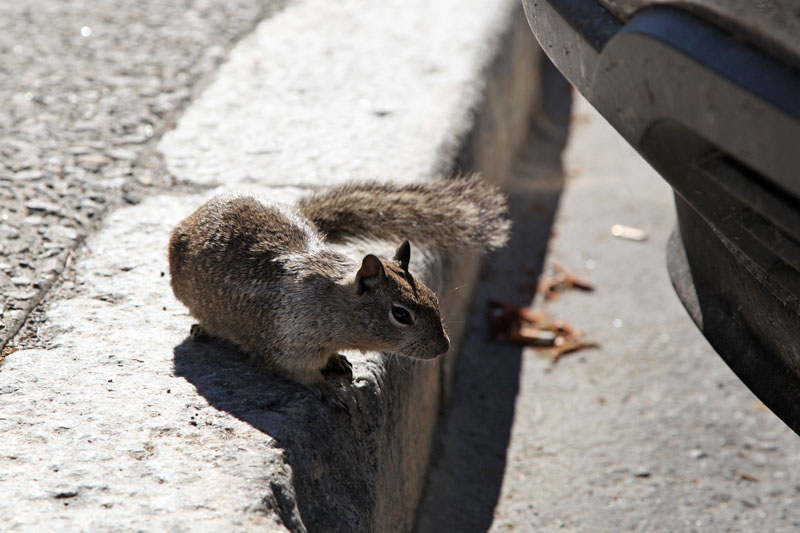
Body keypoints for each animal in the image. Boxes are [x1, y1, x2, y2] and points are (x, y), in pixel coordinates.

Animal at [167, 175, 512, 408]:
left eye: (434, 298)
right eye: (401, 314)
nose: (443, 347)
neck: (332, 302)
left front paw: (337, 361)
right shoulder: (285, 344)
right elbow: (297, 372)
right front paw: (328, 390)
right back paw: (206, 329)